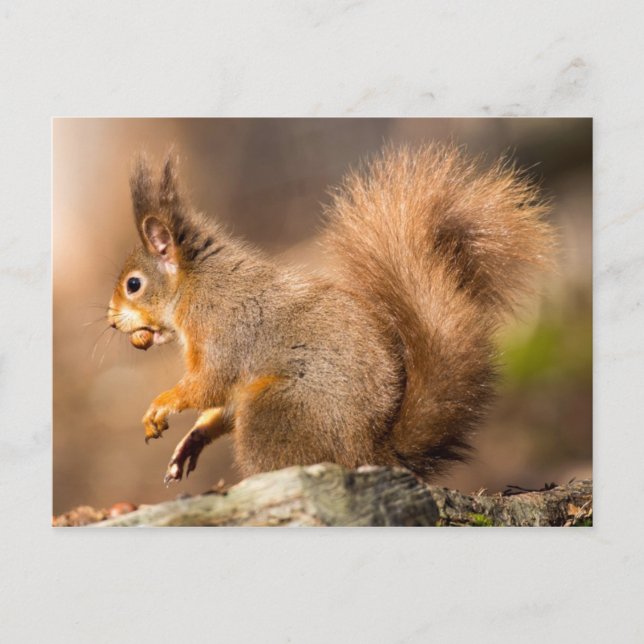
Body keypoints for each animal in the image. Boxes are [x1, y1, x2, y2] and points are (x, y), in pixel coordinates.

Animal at [107, 143, 555, 485]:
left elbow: (209, 383)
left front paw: (161, 404)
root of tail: (366, 453)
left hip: (276, 409)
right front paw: (192, 439)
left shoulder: (221, 326)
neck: (193, 285)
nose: (111, 321)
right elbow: (217, 404)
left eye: (133, 284)